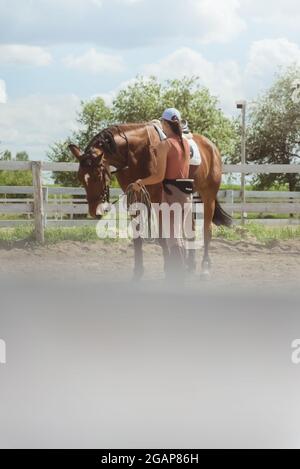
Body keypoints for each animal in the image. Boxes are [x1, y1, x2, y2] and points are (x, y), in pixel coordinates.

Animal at [68, 122, 232, 280]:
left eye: (97, 176)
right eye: (80, 177)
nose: (95, 211)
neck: (136, 154)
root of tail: (211, 146)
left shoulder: (158, 199)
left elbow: (162, 235)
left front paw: (169, 269)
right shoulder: (134, 195)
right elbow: (137, 236)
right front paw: (138, 271)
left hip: (208, 195)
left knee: (207, 231)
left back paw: (205, 268)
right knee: (189, 227)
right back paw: (190, 265)